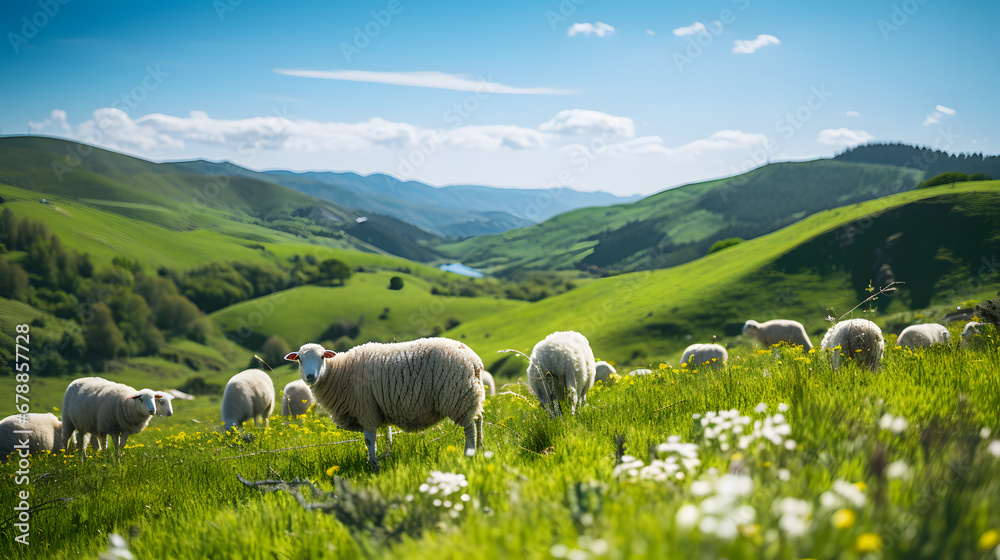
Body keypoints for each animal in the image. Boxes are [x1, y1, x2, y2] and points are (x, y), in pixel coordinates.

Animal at [285, 338, 485, 473]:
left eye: (321, 357)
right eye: (300, 360)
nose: (310, 376)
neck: (338, 373)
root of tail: (474, 360)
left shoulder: (366, 409)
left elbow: (369, 441)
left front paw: (373, 465)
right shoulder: (378, 409)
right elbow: (386, 437)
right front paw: (383, 457)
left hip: (457, 396)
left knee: (469, 427)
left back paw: (469, 453)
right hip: (471, 393)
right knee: (478, 418)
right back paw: (481, 447)